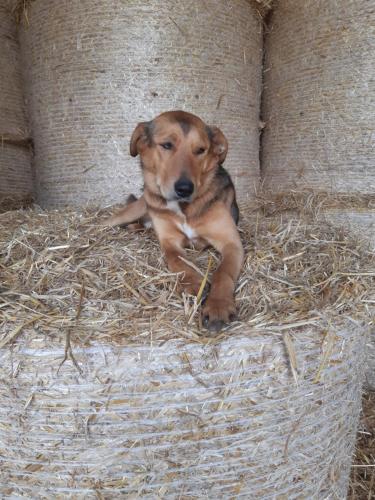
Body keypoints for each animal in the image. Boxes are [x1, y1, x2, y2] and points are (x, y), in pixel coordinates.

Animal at [107, 112, 245, 332]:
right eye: (167, 145)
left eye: (200, 150)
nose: (184, 189)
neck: (183, 208)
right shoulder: (169, 241)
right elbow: (178, 261)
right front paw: (194, 284)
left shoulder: (232, 243)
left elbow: (222, 273)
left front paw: (218, 305)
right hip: (137, 207)